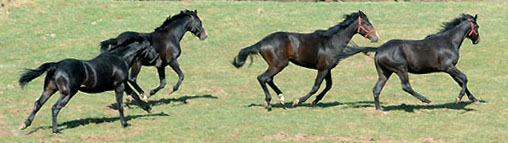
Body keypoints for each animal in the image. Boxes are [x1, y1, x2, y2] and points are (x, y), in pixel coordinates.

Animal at [18, 37, 153, 134]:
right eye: (150, 47)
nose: (155, 58)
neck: (120, 58)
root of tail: (56, 65)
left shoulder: (124, 84)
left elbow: (134, 95)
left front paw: (148, 108)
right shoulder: (119, 86)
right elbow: (120, 105)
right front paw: (125, 124)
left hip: (50, 89)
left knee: (38, 104)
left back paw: (24, 124)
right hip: (67, 93)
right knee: (55, 108)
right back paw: (55, 130)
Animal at [232, 10, 380, 109]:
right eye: (366, 23)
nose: (376, 37)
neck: (331, 42)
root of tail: (261, 43)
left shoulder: (327, 69)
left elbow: (328, 86)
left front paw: (315, 101)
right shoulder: (322, 69)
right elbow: (316, 86)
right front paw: (298, 101)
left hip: (275, 65)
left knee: (268, 79)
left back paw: (281, 98)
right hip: (279, 65)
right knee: (262, 78)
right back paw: (268, 102)